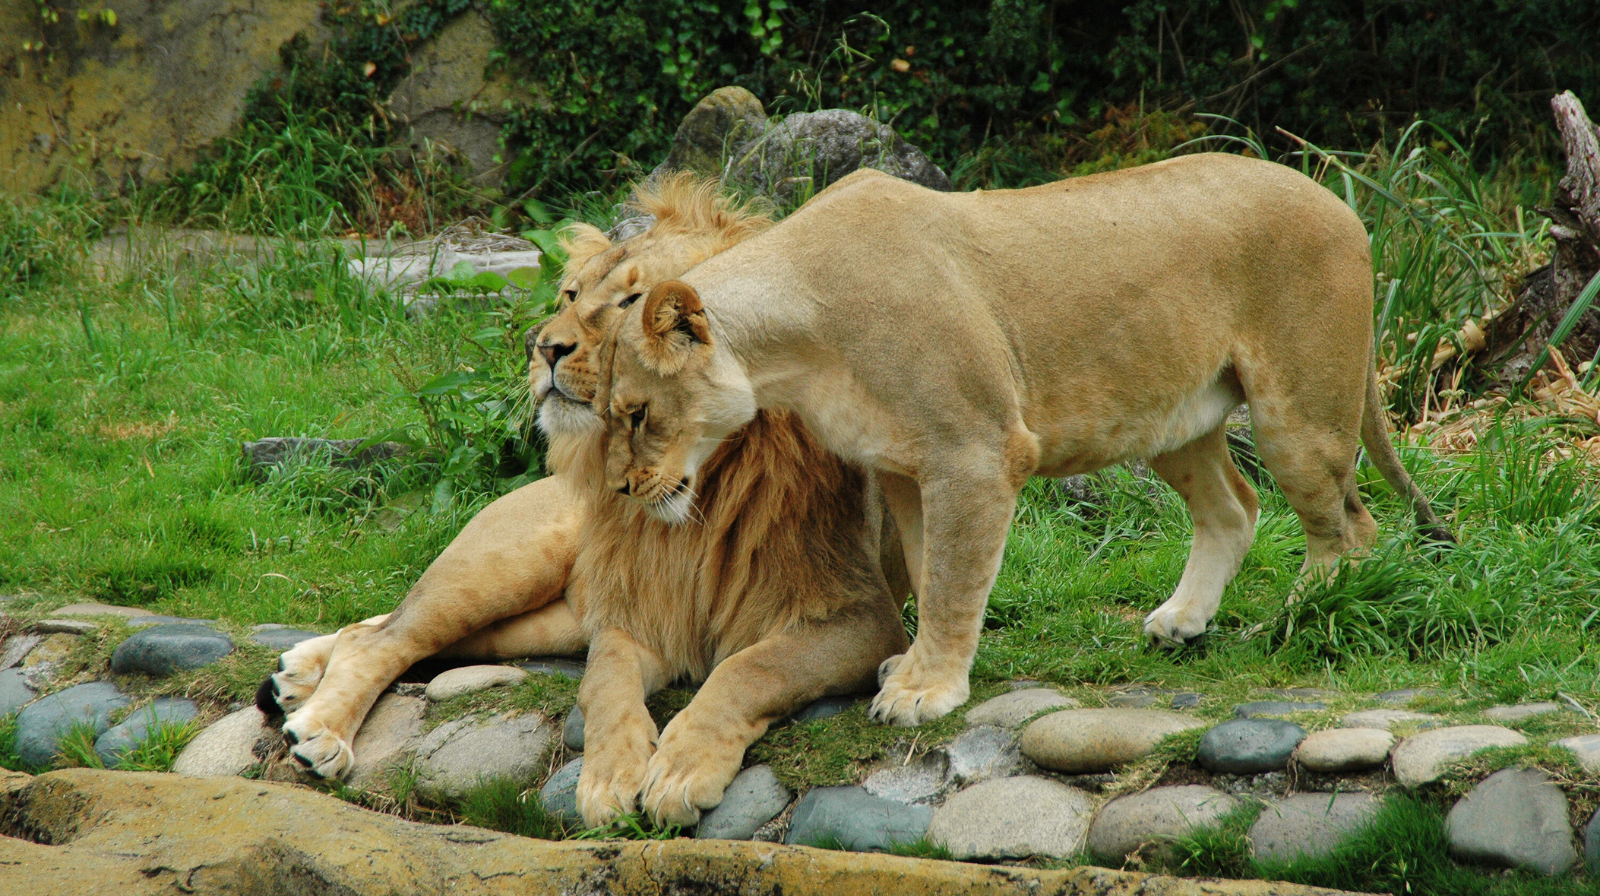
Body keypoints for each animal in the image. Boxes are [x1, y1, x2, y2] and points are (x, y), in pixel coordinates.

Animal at [262, 175, 909, 832]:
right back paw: (317, 725)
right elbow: (606, 681)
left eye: (633, 303)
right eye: (572, 294)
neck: (700, 479)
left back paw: (296, 677)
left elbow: (752, 668)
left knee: (382, 632)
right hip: (505, 567)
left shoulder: (866, 618)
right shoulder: (635, 614)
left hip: (544, 624)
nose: (540, 347)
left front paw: (681, 767)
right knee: (387, 636)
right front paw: (609, 774)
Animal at [595, 154, 1454, 729]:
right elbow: (932, 569)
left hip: (1296, 413)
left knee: (1348, 526)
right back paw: (1182, 620)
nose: (620, 490)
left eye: (635, 414)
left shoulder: (973, 452)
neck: (794, 347)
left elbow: (953, 581)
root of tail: (1343, 205)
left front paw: (925, 691)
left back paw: (1298, 621)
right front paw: (915, 667)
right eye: (607, 414)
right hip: (1173, 415)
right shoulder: (904, 466)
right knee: (1236, 508)